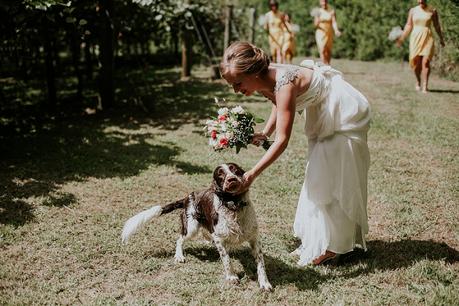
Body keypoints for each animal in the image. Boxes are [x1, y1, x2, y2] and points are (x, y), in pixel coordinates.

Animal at [121, 161, 274, 290]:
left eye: (235, 170)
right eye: (220, 174)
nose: (231, 179)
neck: (234, 206)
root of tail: (187, 197)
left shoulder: (254, 238)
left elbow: (261, 264)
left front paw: (264, 283)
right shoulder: (219, 238)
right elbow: (226, 260)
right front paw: (231, 276)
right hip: (191, 227)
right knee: (179, 239)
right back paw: (179, 256)